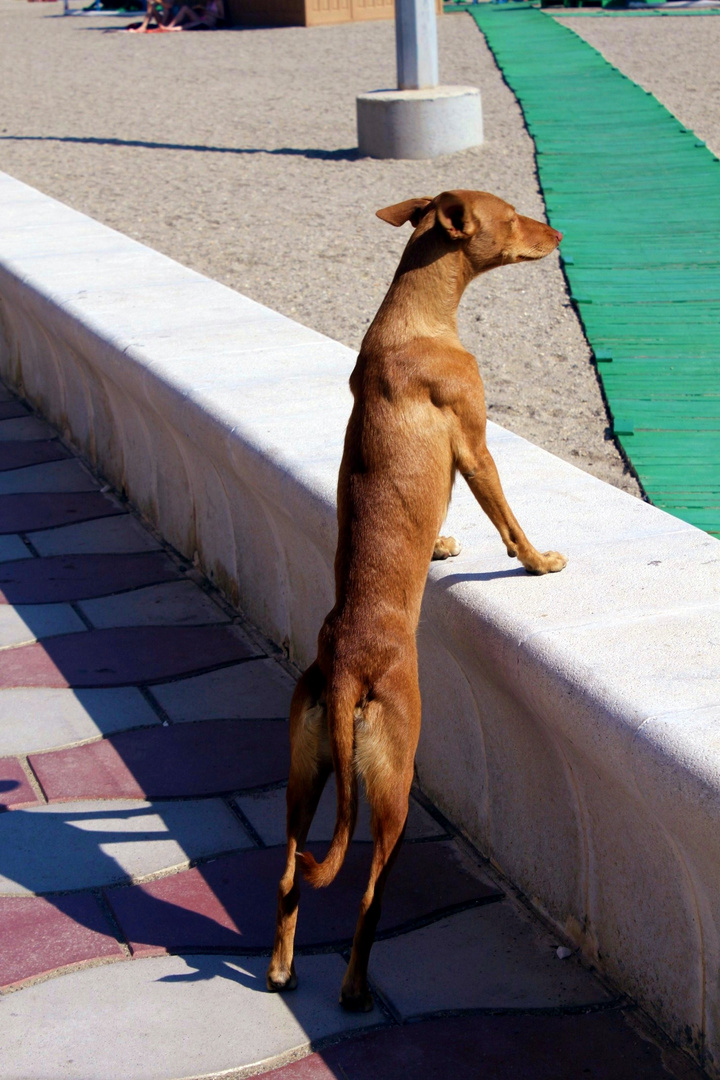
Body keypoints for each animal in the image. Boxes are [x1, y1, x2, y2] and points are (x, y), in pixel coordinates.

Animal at [267, 187, 565, 1010]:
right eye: (515, 215)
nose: (559, 234)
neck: (413, 320)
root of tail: (345, 667)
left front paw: (439, 546)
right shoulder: (475, 441)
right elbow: (508, 517)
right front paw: (538, 561)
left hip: (304, 776)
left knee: (289, 872)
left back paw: (281, 968)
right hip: (395, 786)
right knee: (369, 896)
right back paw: (353, 987)